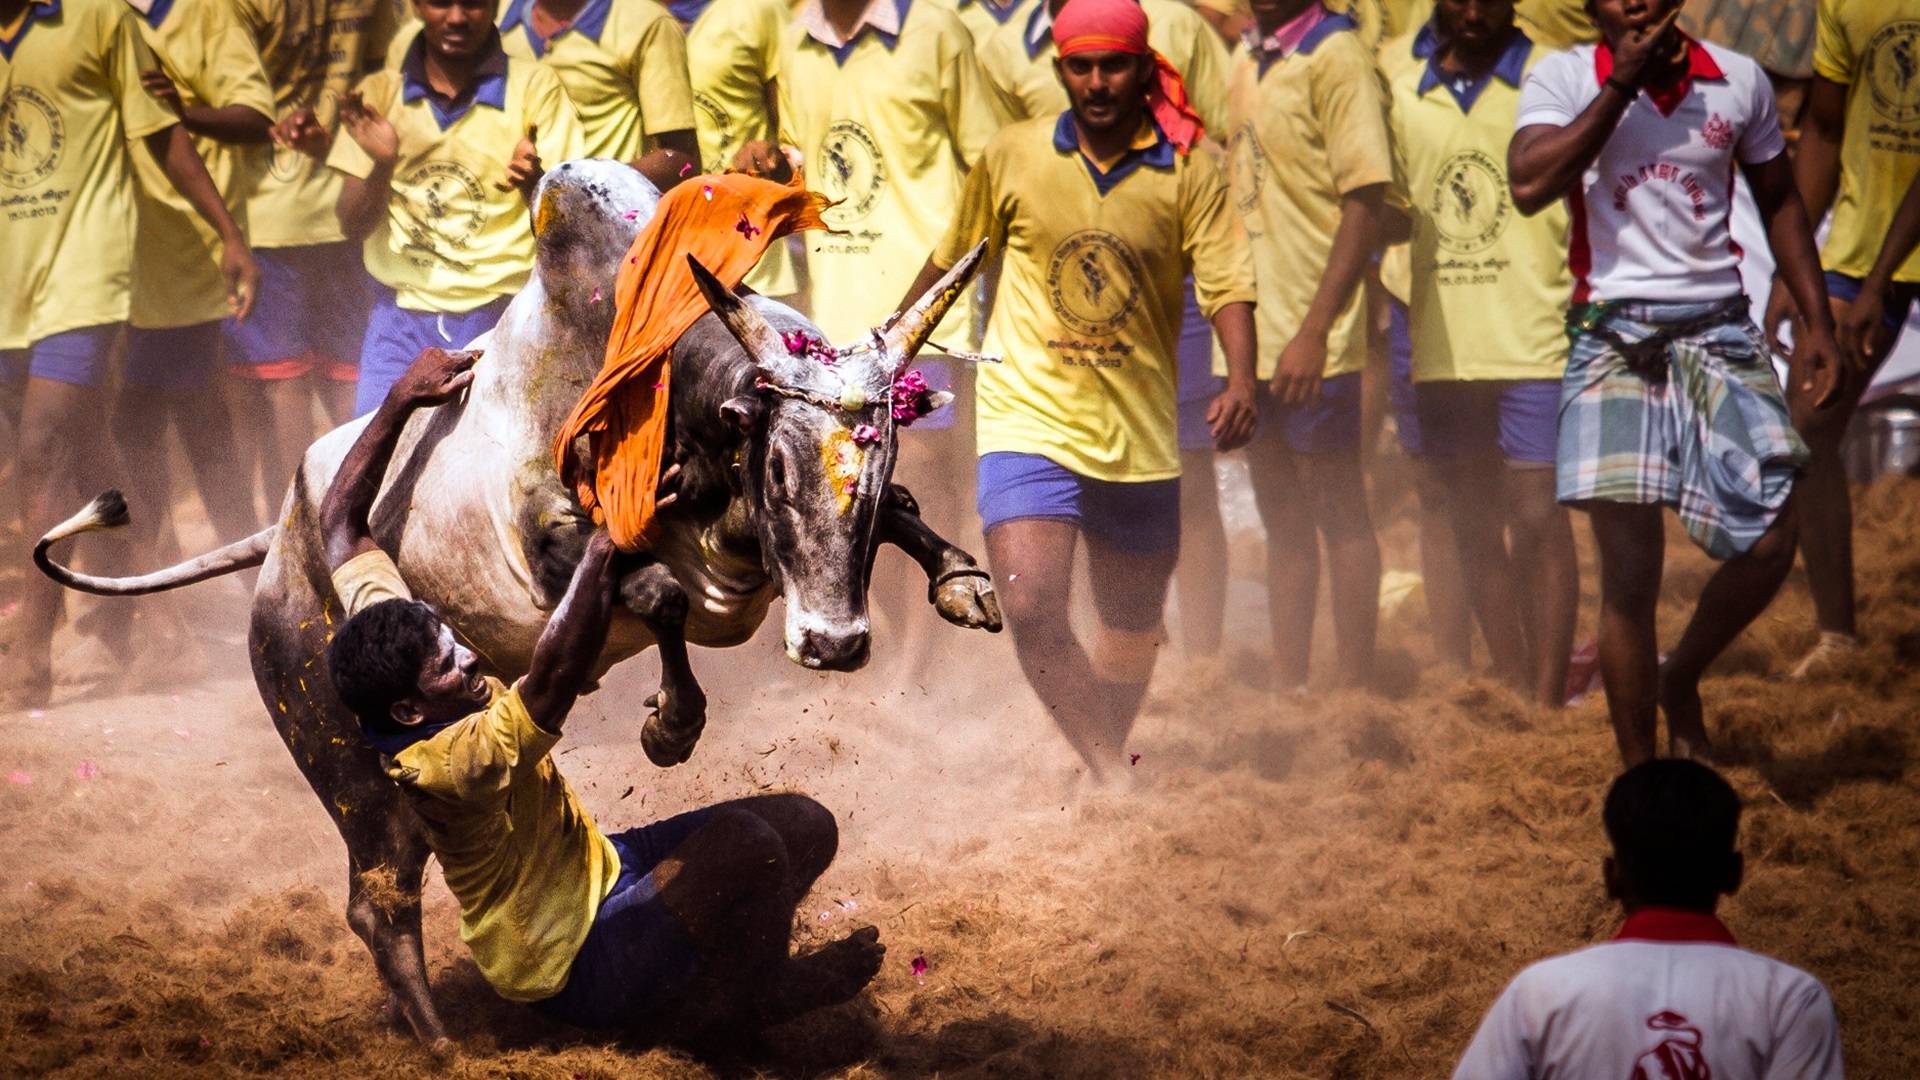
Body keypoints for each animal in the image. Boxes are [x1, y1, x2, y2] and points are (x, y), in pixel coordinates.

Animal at [32, 160, 1001, 1043]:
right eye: (773, 466)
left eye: (881, 458)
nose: (834, 644)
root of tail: (280, 539)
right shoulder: (553, 544)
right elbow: (657, 596)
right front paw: (670, 723)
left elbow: (902, 518)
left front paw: (960, 578)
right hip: (344, 767)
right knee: (378, 903)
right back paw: (439, 1040)